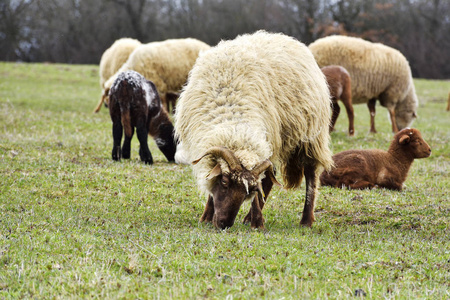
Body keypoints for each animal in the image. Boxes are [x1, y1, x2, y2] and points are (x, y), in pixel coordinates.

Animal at [174, 30, 332, 230]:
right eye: (224, 182)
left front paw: (257, 222)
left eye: (246, 191)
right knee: (270, 180)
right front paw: (207, 216)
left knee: (311, 175)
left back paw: (306, 220)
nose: (225, 224)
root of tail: (285, 38)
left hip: (310, 136)